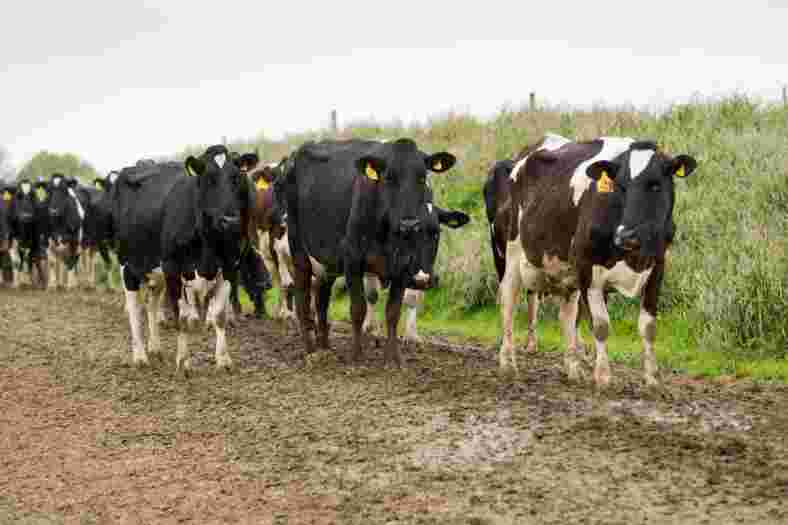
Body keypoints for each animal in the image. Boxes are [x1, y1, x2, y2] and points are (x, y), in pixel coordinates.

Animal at [111, 145, 251, 370]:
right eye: (209, 178)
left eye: (236, 178)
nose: (230, 220)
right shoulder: (173, 268)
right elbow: (183, 317)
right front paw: (184, 362)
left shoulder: (230, 267)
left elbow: (220, 315)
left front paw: (223, 360)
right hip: (128, 265)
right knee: (134, 310)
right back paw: (140, 356)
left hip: (156, 273)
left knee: (151, 305)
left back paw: (155, 348)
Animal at [284, 137, 458, 362]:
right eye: (389, 178)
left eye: (422, 177)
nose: (409, 224)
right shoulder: (352, 258)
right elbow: (358, 308)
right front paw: (357, 355)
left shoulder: (403, 266)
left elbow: (393, 312)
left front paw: (394, 359)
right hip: (298, 249)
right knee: (302, 298)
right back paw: (310, 350)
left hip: (326, 262)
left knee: (322, 300)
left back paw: (325, 348)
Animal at [498, 133, 696, 386]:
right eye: (619, 186)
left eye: (655, 184)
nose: (626, 235)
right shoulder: (586, 267)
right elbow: (600, 325)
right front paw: (603, 377)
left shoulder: (657, 266)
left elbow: (648, 326)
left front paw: (652, 378)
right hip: (512, 255)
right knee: (508, 303)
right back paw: (508, 365)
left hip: (565, 272)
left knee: (567, 315)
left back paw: (573, 369)